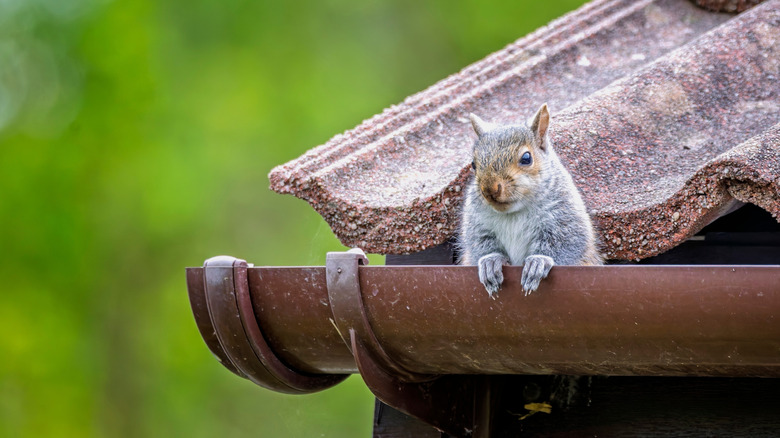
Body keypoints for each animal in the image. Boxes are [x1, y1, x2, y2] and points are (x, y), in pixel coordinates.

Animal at [458, 103, 603, 297]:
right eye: (474, 164)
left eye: (526, 158)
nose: (489, 189)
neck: (513, 212)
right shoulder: (478, 223)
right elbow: (479, 244)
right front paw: (490, 262)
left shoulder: (565, 217)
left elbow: (566, 244)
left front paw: (538, 263)